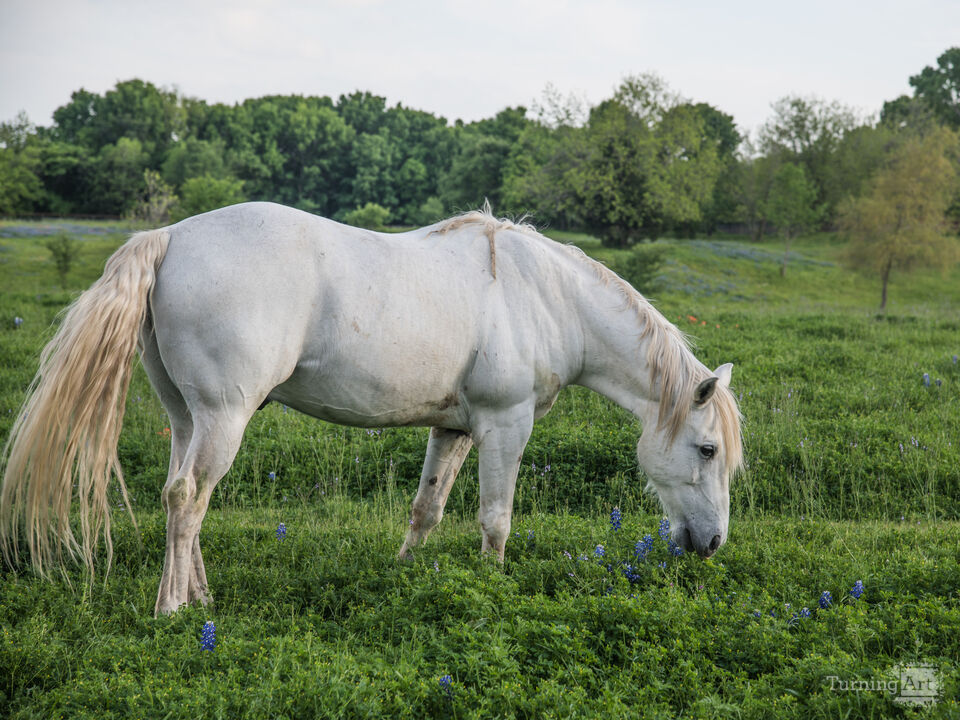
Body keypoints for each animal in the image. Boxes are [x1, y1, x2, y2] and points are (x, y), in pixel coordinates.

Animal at [0, 202, 742, 616]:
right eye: (706, 450)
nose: (711, 546)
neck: (544, 294)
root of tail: (172, 236)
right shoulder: (507, 425)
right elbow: (495, 520)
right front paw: (493, 589)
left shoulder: (453, 427)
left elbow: (426, 510)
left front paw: (406, 577)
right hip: (222, 418)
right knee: (188, 499)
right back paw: (175, 610)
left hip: (188, 420)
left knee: (181, 495)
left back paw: (201, 596)